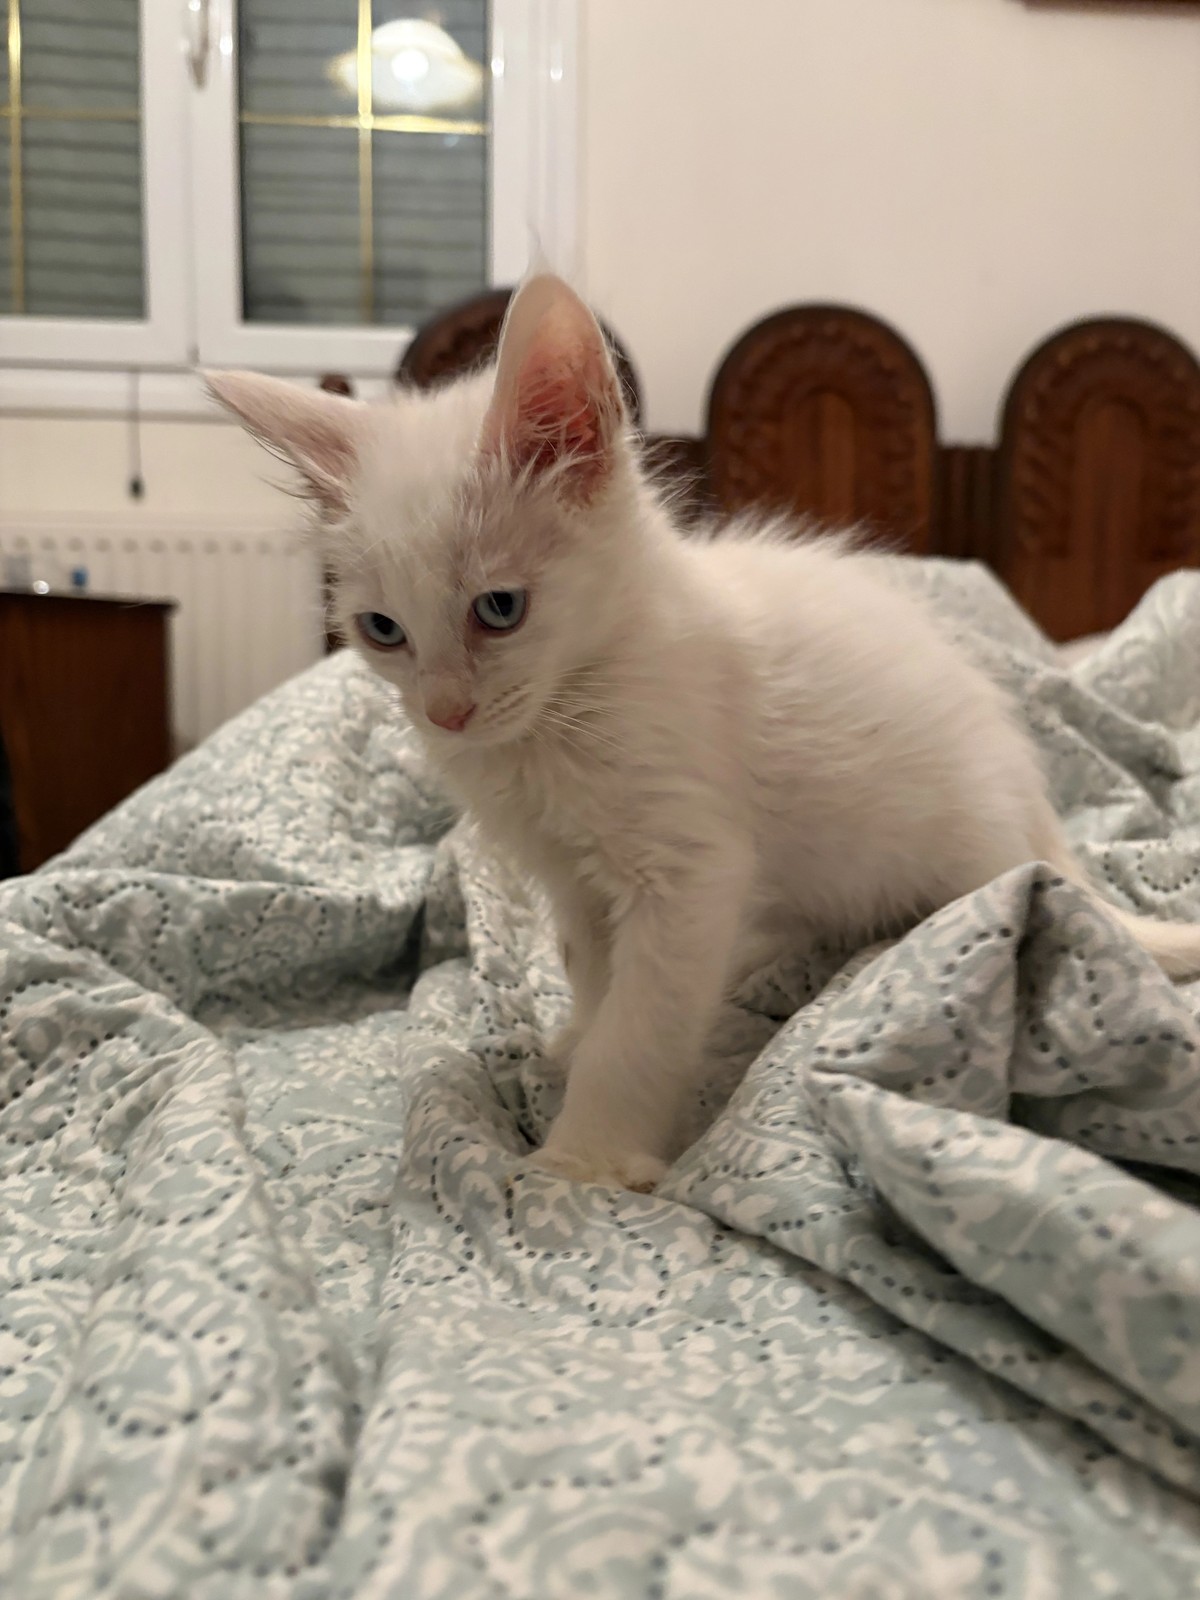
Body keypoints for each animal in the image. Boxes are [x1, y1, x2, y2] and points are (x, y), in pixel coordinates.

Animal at [208, 272, 1200, 1193]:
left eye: (499, 609)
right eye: (383, 630)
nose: (445, 712)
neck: (571, 707)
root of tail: (1034, 818)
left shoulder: (687, 869)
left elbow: (644, 1023)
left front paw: (585, 1159)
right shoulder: (575, 879)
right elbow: (595, 971)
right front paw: (578, 1038)